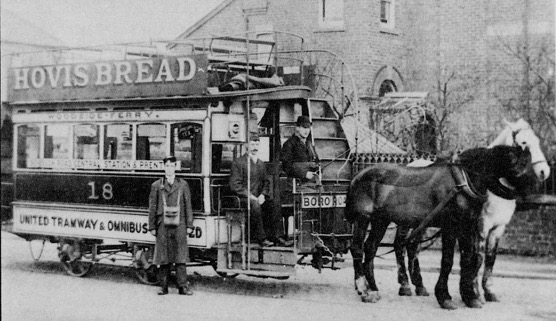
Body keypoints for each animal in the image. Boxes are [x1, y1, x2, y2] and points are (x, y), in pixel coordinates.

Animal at [348, 144, 536, 308]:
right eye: (522, 165)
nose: (533, 195)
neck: (464, 180)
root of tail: (358, 175)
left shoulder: (467, 225)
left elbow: (468, 258)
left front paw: (470, 297)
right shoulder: (451, 226)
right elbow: (448, 260)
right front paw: (445, 297)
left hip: (381, 220)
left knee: (371, 248)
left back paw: (374, 289)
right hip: (363, 218)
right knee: (358, 248)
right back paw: (364, 289)